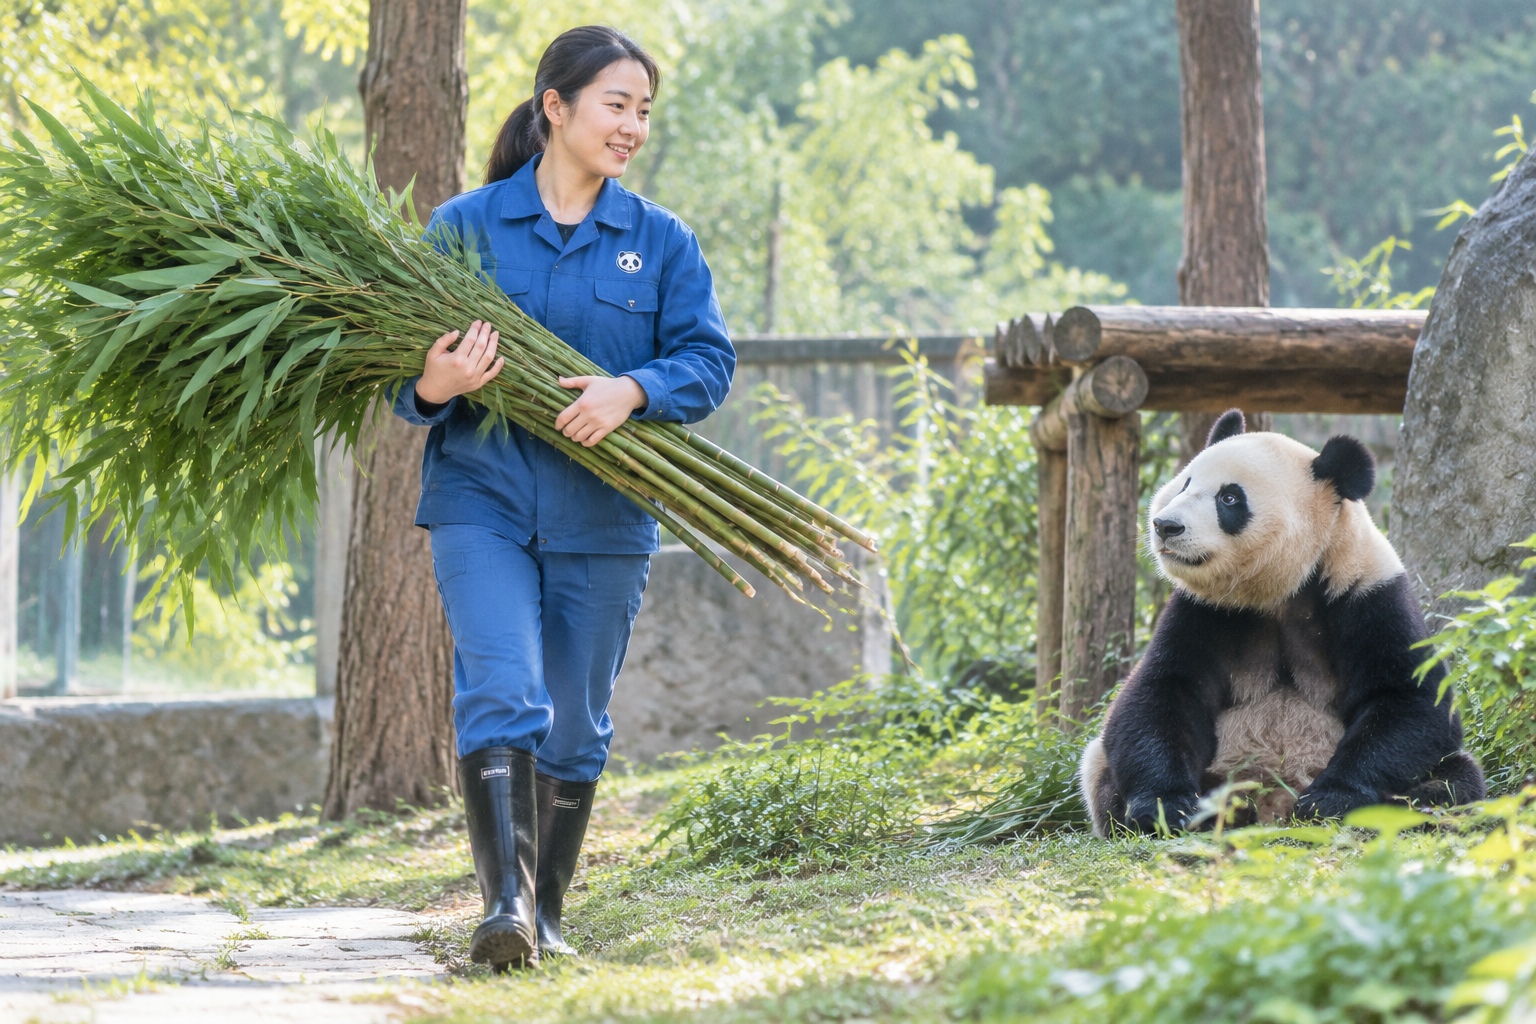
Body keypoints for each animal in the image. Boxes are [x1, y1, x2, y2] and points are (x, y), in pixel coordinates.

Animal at [1079, 410, 1485, 836]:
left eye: (1229, 497)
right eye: (1185, 483)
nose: (1166, 526)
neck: (1279, 589)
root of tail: (1272, 801)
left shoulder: (1367, 594)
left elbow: (1408, 698)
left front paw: (1330, 799)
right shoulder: (1201, 610)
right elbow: (1164, 691)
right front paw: (1166, 807)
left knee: (1455, 778)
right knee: (1101, 769)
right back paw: (1215, 809)